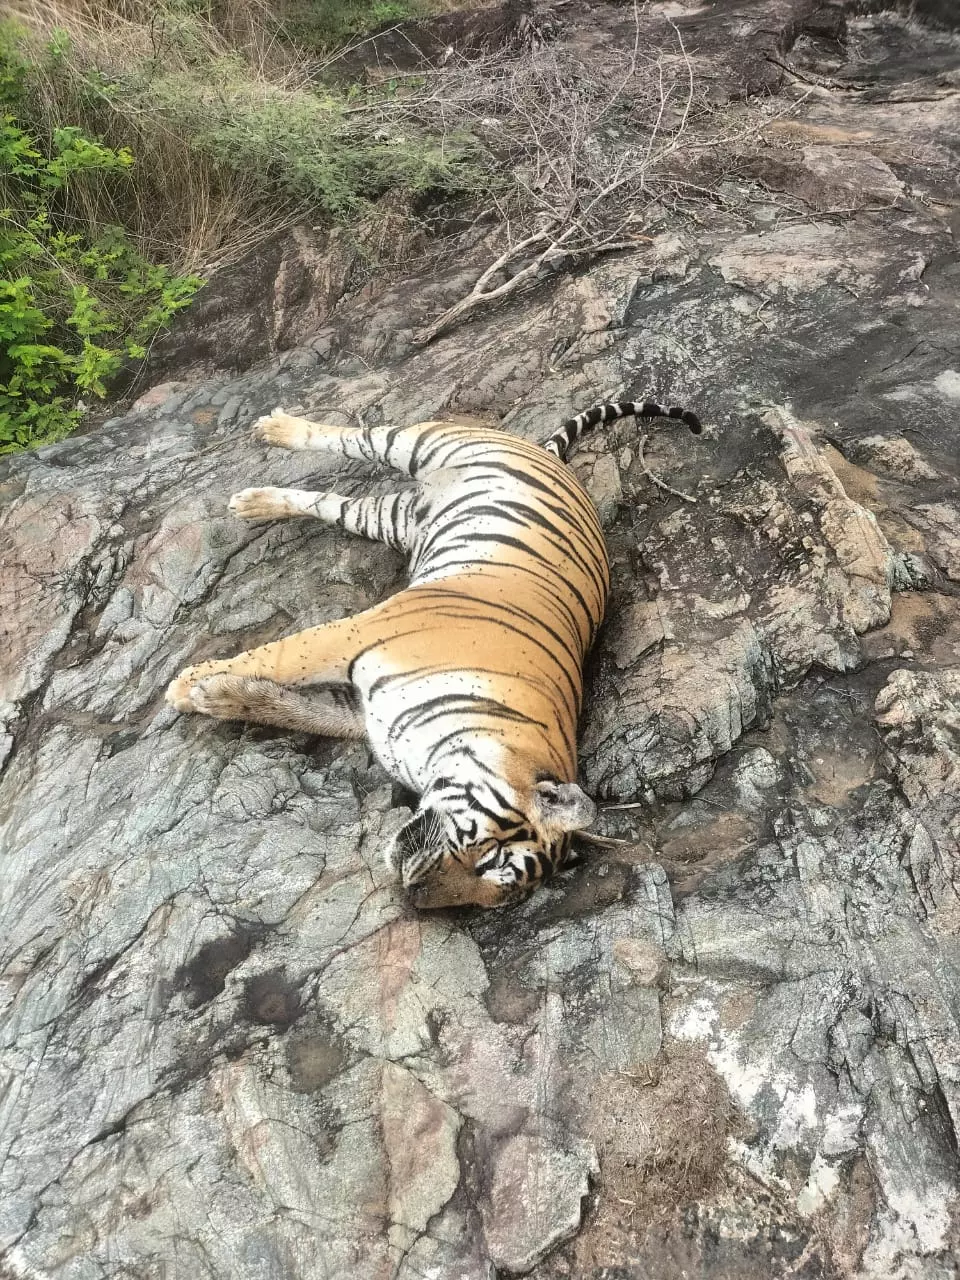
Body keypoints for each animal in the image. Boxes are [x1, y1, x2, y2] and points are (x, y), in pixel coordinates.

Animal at [165, 398, 702, 908]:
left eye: (491, 893)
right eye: (491, 858)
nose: (414, 893)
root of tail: (551, 457)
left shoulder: (360, 713)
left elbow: (292, 708)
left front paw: (217, 696)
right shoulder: (354, 635)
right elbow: (277, 658)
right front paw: (185, 685)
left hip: (389, 519)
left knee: (329, 501)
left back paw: (254, 503)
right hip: (421, 443)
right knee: (350, 437)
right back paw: (276, 430)